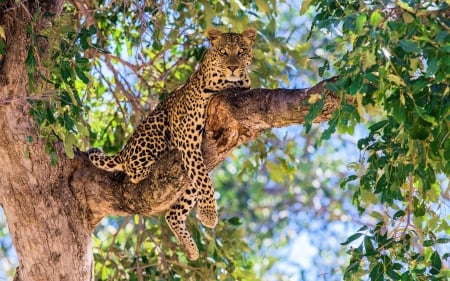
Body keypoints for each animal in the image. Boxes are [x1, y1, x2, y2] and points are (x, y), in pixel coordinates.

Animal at [88, 27, 256, 260]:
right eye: (223, 52)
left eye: (241, 52)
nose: (232, 67)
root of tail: (124, 150)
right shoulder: (188, 140)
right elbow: (205, 181)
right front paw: (209, 215)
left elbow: (203, 179)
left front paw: (207, 215)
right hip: (156, 128)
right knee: (134, 170)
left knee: (173, 213)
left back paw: (191, 249)